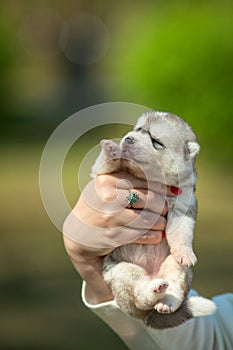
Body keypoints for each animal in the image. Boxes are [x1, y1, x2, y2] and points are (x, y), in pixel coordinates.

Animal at [91, 111, 217, 328]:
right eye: (138, 129)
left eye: (156, 142)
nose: (128, 138)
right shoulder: (102, 173)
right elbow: (104, 164)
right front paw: (111, 148)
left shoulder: (183, 206)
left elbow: (182, 232)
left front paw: (186, 252)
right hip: (122, 271)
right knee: (140, 295)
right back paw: (154, 289)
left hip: (177, 270)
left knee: (172, 290)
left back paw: (165, 300)